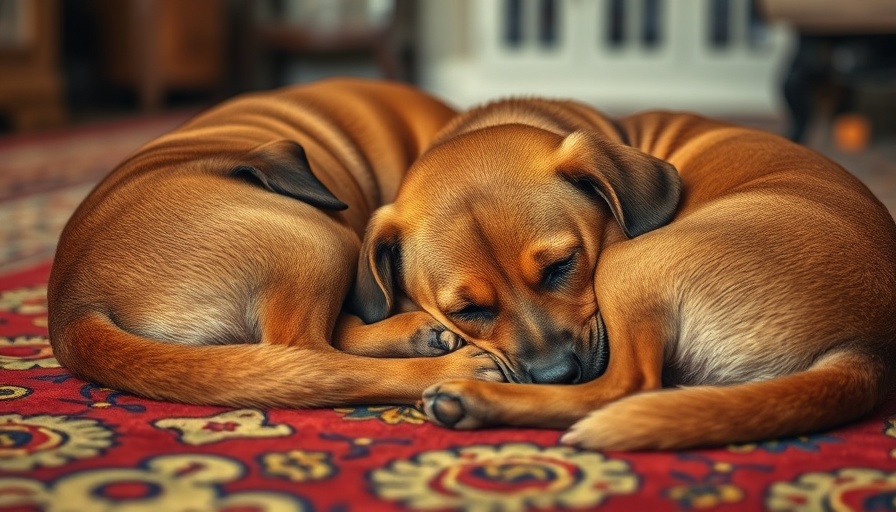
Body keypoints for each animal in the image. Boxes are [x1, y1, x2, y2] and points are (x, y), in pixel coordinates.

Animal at [350, 98, 896, 450]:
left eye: (563, 266)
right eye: (468, 309)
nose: (556, 375)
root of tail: (867, 350)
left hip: (626, 265)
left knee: (627, 386)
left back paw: (475, 399)